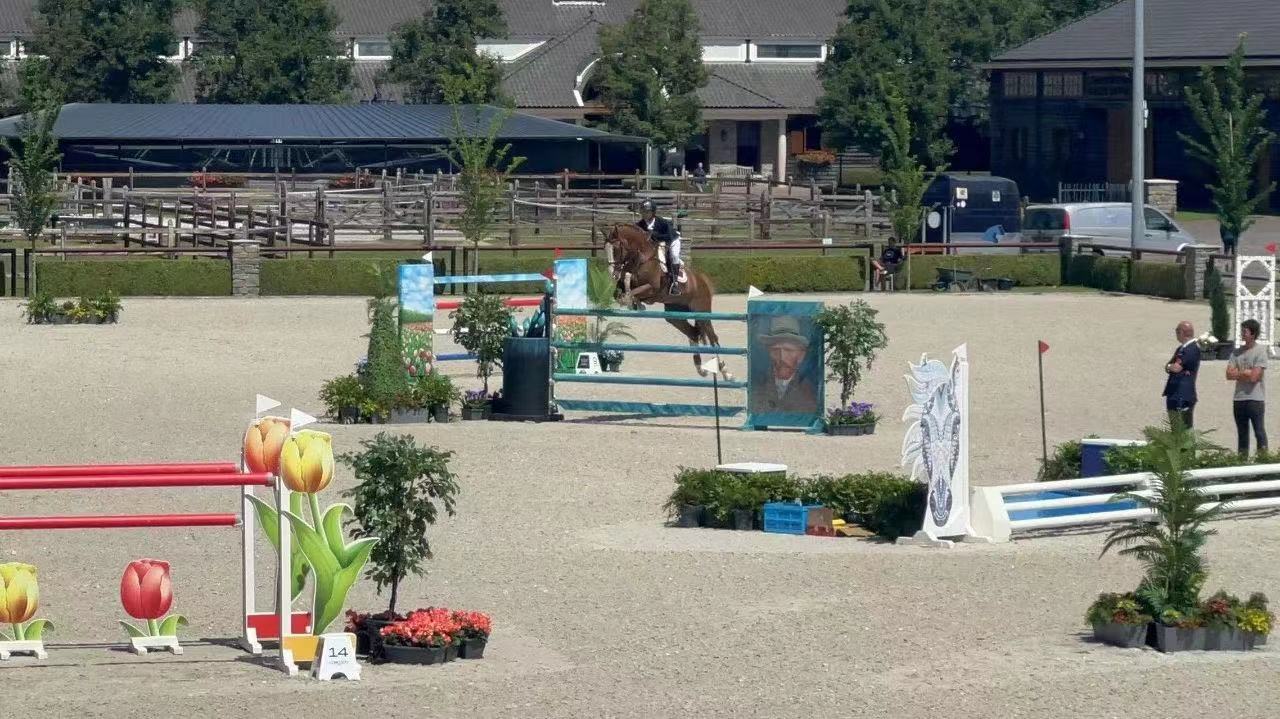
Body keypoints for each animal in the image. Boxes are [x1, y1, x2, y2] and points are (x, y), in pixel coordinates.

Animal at [603, 223, 733, 381]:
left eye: (616, 249)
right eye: (605, 249)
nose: (612, 274)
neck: (641, 257)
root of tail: (703, 281)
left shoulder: (652, 288)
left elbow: (630, 289)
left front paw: (634, 303)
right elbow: (621, 292)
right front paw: (635, 304)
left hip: (702, 312)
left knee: (713, 338)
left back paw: (726, 372)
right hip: (674, 316)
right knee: (693, 333)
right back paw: (700, 369)